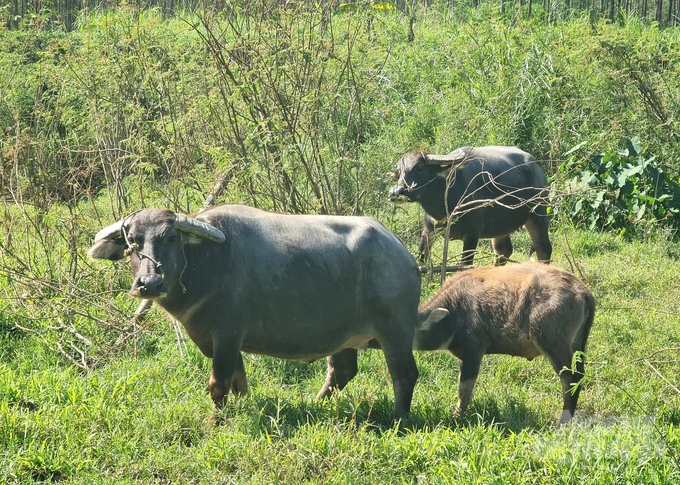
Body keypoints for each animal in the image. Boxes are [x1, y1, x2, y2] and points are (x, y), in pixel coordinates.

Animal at [89, 202, 420, 418]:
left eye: (170, 238)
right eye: (132, 243)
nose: (149, 283)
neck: (209, 263)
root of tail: (401, 252)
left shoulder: (227, 335)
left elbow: (219, 383)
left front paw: (217, 419)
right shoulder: (223, 342)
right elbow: (239, 383)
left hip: (396, 331)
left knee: (404, 374)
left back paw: (398, 420)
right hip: (343, 337)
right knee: (342, 371)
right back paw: (316, 403)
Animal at [388, 145, 552, 264]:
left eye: (420, 168)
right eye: (399, 171)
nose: (395, 192)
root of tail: (538, 171)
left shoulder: (472, 235)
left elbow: (464, 265)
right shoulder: (428, 230)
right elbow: (421, 259)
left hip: (538, 215)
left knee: (543, 249)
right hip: (501, 227)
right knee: (503, 251)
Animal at [418, 260, 592, 424]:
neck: (453, 310)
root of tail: (582, 291)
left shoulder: (474, 351)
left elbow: (464, 389)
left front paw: (457, 417)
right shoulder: (464, 357)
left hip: (553, 345)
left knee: (571, 379)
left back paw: (563, 422)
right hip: (577, 346)